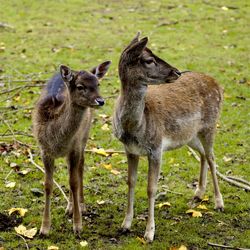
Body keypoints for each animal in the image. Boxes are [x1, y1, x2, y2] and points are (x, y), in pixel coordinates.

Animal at [32, 61, 111, 235]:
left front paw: (78, 225)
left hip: (84, 135)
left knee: (80, 167)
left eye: (98, 84)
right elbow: (48, 185)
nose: (100, 101)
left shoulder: (74, 147)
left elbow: (74, 182)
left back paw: (80, 205)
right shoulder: (44, 150)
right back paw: (69, 206)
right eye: (80, 86)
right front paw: (44, 228)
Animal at [112, 33, 224, 242]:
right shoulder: (129, 150)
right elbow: (130, 182)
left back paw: (219, 203)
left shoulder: (156, 148)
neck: (136, 127)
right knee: (203, 155)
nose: (177, 72)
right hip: (189, 135)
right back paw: (198, 193)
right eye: (149, 60)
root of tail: (218, 85)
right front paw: (125, 225)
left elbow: (151, 188)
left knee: (213, 158)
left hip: (210, 125)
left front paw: (149, 233)